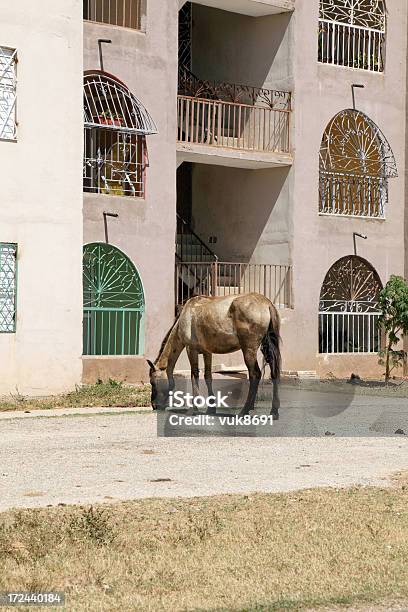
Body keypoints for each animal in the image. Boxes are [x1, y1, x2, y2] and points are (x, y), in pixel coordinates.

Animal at [147, 294, 280, 418]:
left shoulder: (191, 349)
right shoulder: (207, 352)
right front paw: (211, 409)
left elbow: (194, 375)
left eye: (152, 382)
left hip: (248, 350)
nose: (154, 405)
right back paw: (273, 411)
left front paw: (194, 409)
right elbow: (208, 377)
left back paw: (245, 410)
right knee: (274, 373)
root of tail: (267, 304)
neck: (185, 315)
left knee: (254, 374)